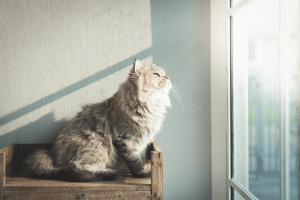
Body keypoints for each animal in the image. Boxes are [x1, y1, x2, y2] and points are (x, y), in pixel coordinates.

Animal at [24, 58, 171, 182]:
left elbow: (142, 156)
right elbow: (135, 161)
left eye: (164, 74)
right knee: (75, 169)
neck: (151, 105)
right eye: (157, 74)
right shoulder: (126, 139)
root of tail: (52, 154)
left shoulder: (143, 140)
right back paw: (109, 173)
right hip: (96, 143)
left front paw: (145, 168)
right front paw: (142, 172)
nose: (168, 78)